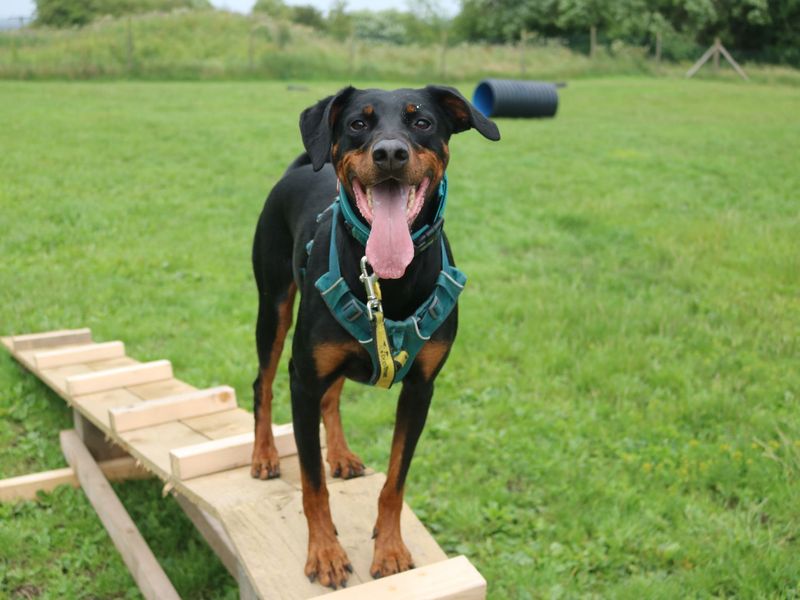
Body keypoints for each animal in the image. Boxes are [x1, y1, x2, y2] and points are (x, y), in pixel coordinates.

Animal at [252, 86, 500, 588]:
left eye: (422, 121)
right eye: (357, 124)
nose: (389, 153)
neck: (389, 279)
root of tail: (295, 172)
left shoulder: (422, 388)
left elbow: (395, 481)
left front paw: (390, 549)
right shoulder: (302, 380)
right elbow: (312, 484)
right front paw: (325, 554)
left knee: (333, 396)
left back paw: (341, 454)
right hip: (273, 306)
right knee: (261, 383)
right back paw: (265, 454)